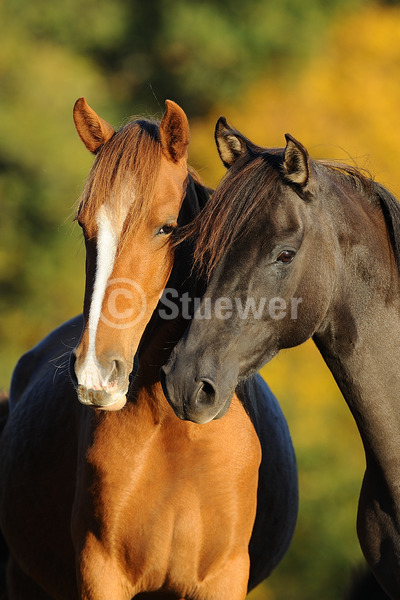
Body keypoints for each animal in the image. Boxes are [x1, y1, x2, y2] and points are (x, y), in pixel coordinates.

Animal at [0, 101, 296, 596]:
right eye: (84, 225)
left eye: (166, 227)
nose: (96, 372)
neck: (179, 435)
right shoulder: (101, 574)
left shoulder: (222, 577)